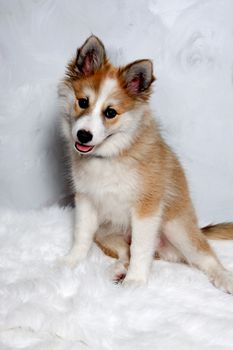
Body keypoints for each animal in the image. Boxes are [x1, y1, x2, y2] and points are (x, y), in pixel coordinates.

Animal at [57, 35, 233, 292]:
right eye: (82, 102)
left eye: (110, 113)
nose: (83, 135)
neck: (111, 156)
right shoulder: (86, 201)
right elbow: (81, 235)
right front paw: (71, 262)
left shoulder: (145, 208)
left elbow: (140, 248)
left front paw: (136, 281)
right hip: (107, 232)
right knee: (124, 253)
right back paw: (116, 270)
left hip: (177, 228)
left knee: (205, 258)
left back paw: (225, 278)